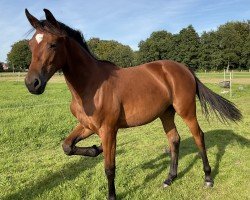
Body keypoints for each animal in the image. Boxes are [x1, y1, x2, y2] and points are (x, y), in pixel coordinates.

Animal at [24, 8, 241, 199]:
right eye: (30, 45)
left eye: (53, 44)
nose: (32, 83)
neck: (91, 86)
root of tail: (184, 68)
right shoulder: (88, 126)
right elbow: (67, 146)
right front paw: (96, 149)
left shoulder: (108, 130)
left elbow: (109, 168)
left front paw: (112, 195)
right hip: (166, 113)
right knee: (174, 139)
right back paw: (169, 178)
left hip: (186, 110)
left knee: (198, 137)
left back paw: (208, 178)